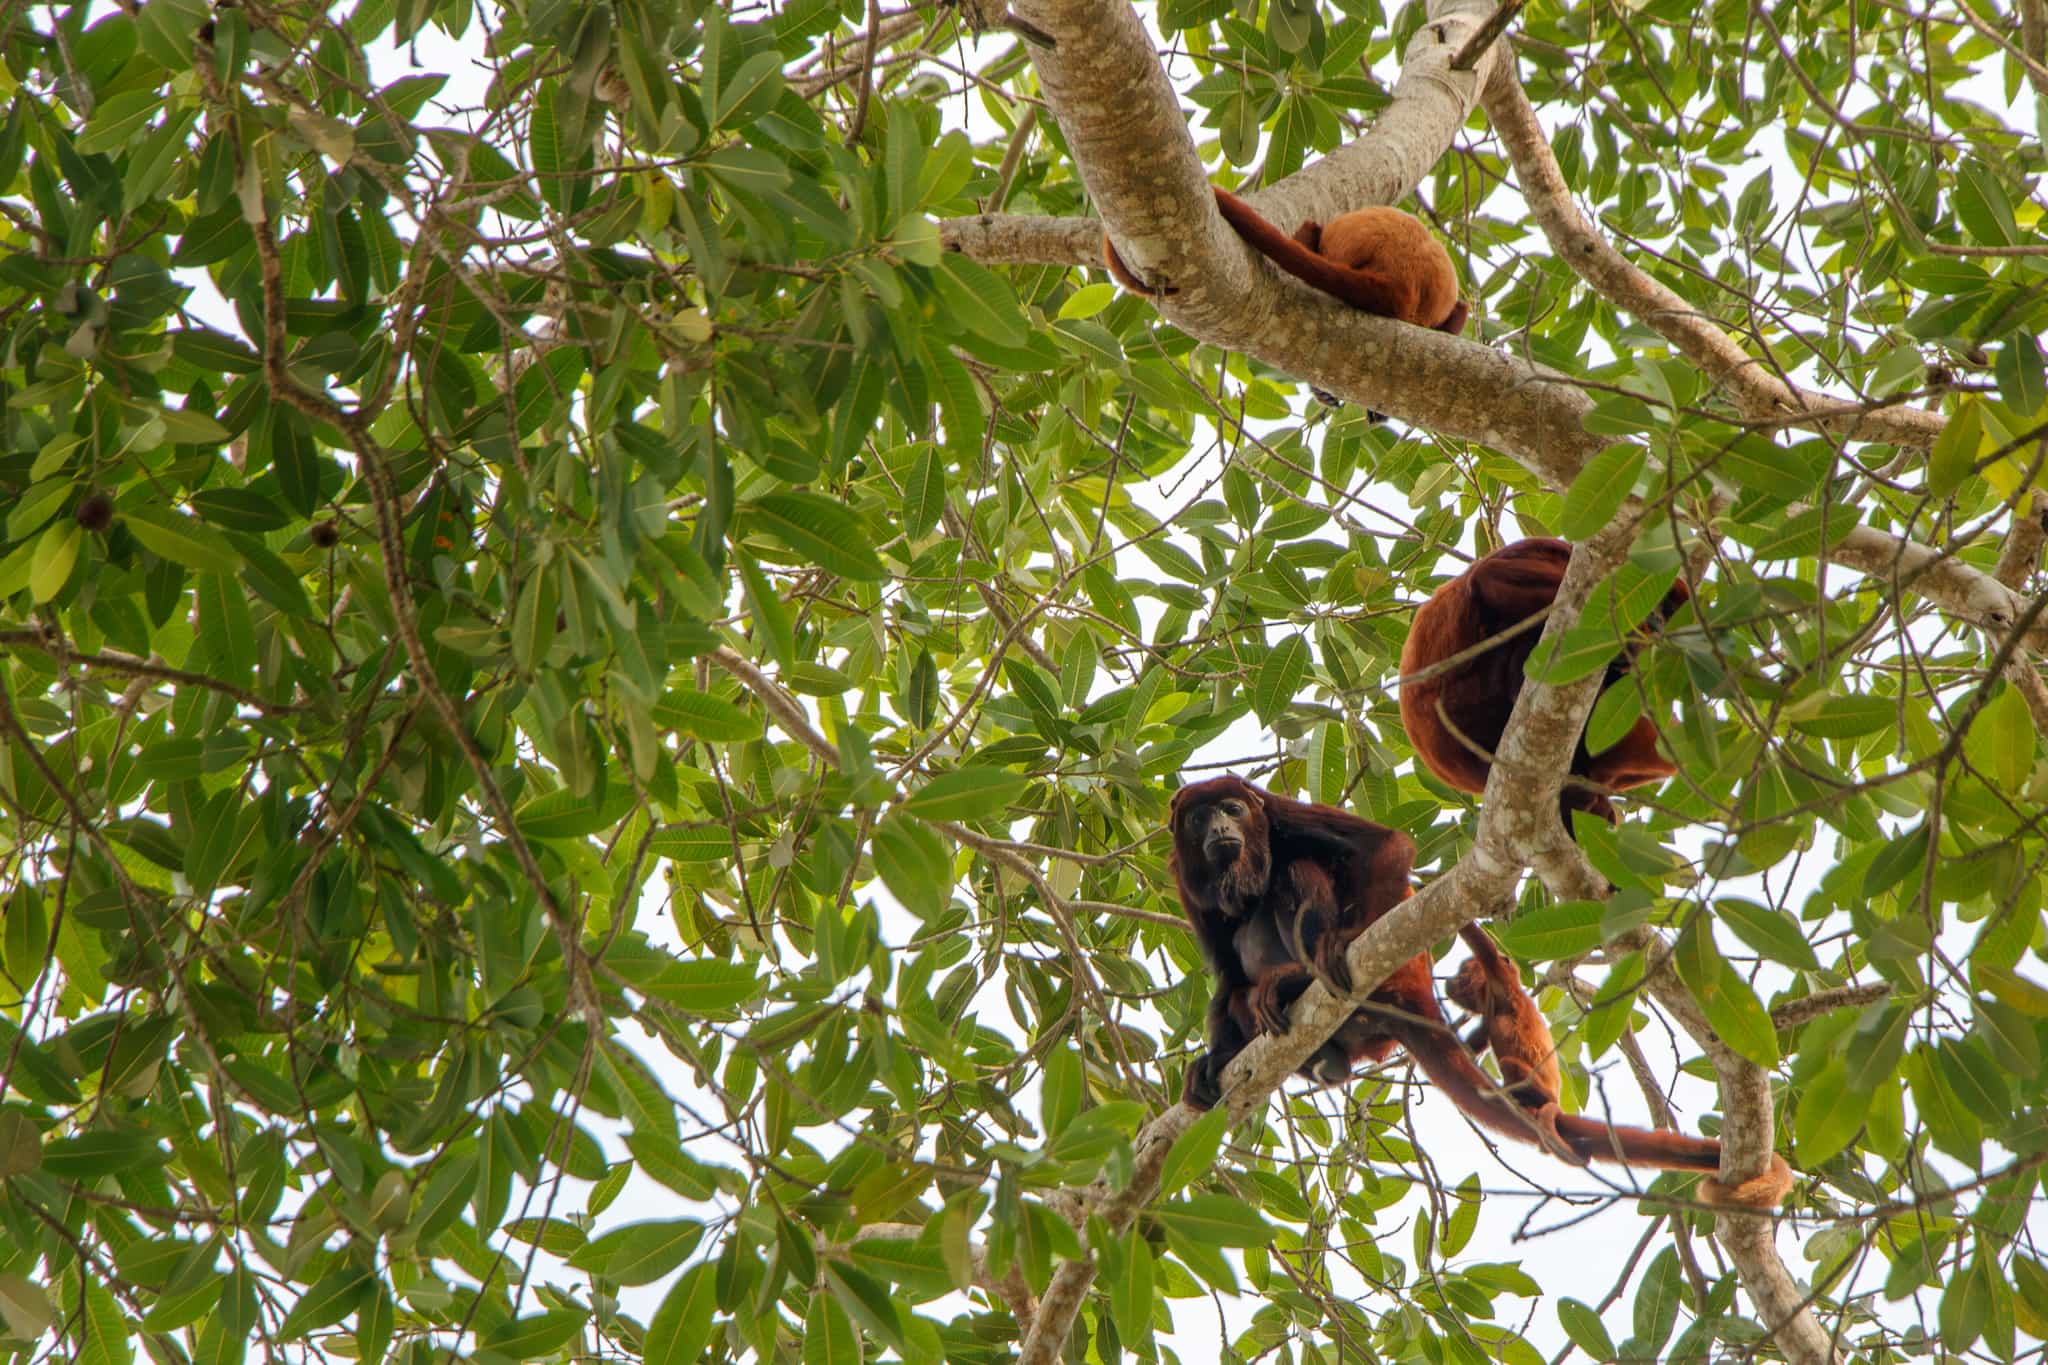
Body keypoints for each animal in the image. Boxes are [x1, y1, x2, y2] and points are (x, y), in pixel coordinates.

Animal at [1168, 777, 1794, 1206]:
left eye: (1233, 808)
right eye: (1200, 817)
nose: (1221, 827)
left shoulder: (1278, 813)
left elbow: (1381, 847)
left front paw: (1329, 950)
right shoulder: (1184, 873)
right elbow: (1224, 972)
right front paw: (1211, 1062)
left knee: (1299, 872)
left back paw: (1303, 978)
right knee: (1240, 969)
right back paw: (1312, 1054)